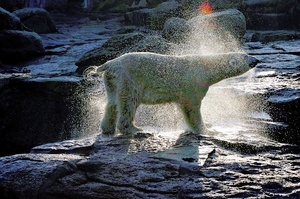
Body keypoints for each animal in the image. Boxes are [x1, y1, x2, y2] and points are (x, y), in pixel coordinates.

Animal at [84, 51, 258, 135]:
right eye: (246, 56)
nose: (256, 60)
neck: (206, 66)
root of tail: (108, 64)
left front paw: (208, 125)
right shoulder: (193, 82)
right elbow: (191, 107)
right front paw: (206, 130)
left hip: (113, 81)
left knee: (112, 103)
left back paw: (107, 128)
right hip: (128, 78)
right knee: (129, 103)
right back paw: (136, 129)